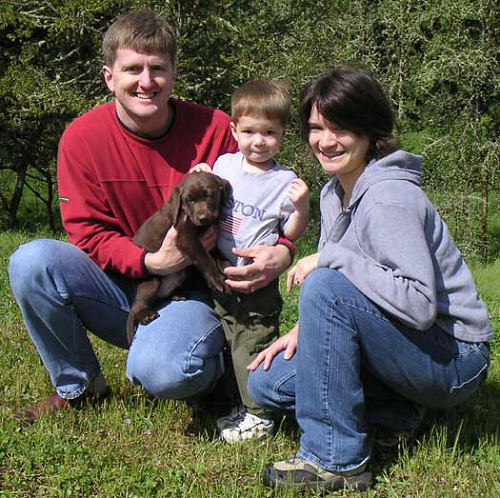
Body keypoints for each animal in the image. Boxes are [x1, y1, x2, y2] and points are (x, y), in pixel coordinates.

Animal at [127, 173, 232, 344]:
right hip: (151, 283)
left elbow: (215, 252)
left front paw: (224, 263)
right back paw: (145, 315)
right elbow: (206, 259)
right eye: (189, 200)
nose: (203, 218)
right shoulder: (186, 237)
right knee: (137, 305)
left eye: (209, 195)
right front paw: (218, 282)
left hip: (181, 275)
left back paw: (178, 294)